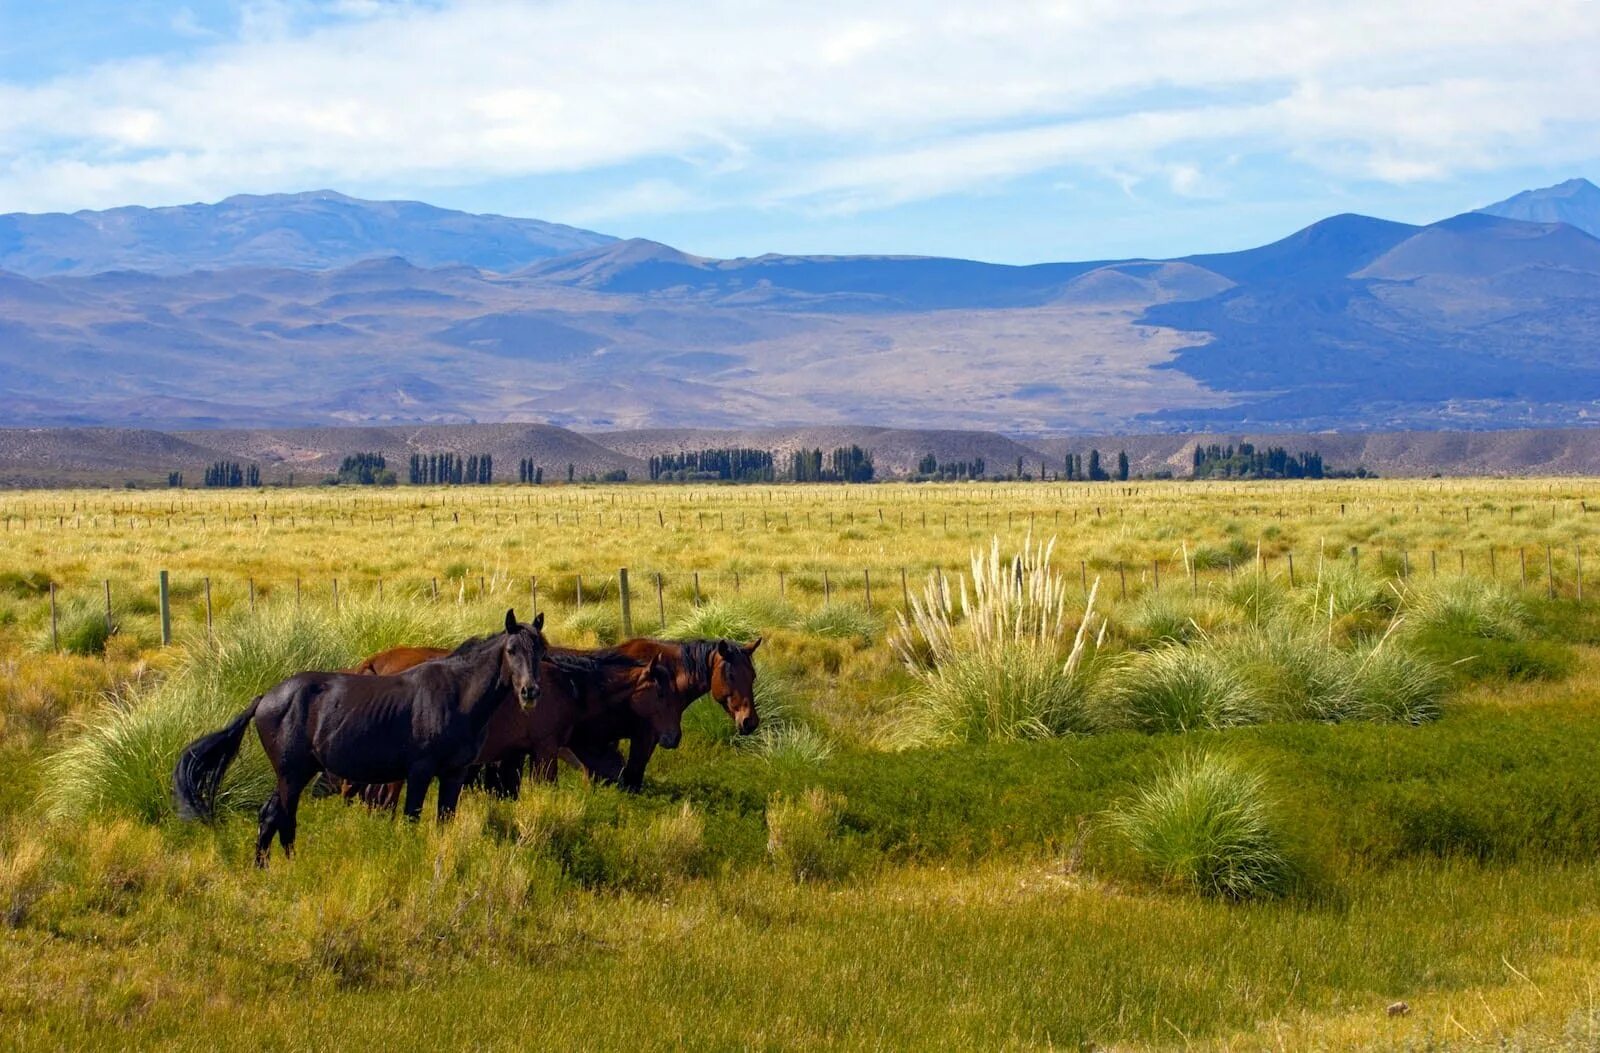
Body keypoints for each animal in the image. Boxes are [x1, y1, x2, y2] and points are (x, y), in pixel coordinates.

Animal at [174, 608, 547, 864]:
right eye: (512, 650)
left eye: (540, 652)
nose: (530, 692)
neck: (456, 694)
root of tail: (266, 697)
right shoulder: (419, 772)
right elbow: (411, 818)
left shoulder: (453, 775)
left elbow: (444, 821)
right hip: (293, 774)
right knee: (285, 818)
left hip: (293, 773)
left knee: (269, 816)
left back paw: (263, 868)